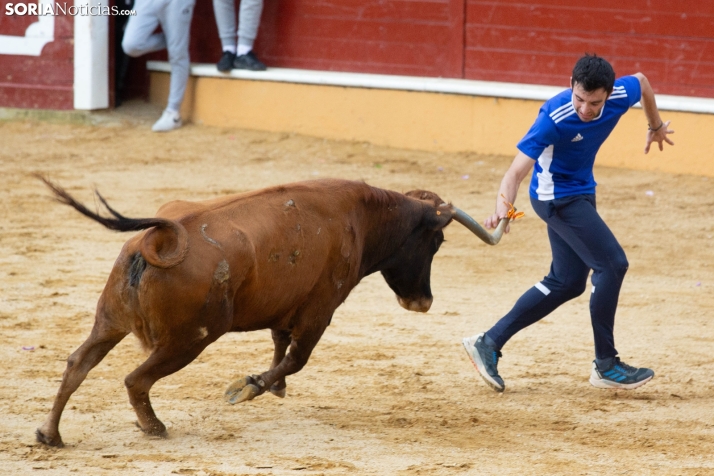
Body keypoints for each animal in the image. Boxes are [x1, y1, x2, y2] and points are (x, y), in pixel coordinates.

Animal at [36, 178, 508, 446]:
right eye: (436, 242)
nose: (423, 301)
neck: (362, 215)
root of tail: (161, 235)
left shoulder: (288, 304)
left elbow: (281, 343)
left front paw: (271, 386)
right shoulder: (321, 308)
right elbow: (297, 357)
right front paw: (249, 386)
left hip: (109, 321)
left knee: (77, 363)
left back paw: (50, 434)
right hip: (190, 339)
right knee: (135, 379)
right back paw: (154, 427)